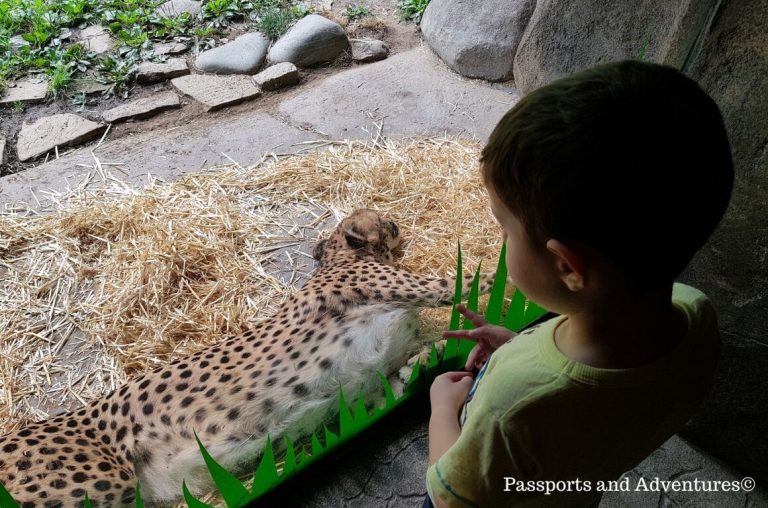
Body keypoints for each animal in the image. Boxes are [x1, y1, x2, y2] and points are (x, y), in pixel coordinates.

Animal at [0, 208, 492, 506]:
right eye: (384, 223)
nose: (396, 223)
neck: (336, 260)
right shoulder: (408, 290)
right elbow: (469, 280)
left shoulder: (371, 389)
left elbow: (411, 374)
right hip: (100, 483)